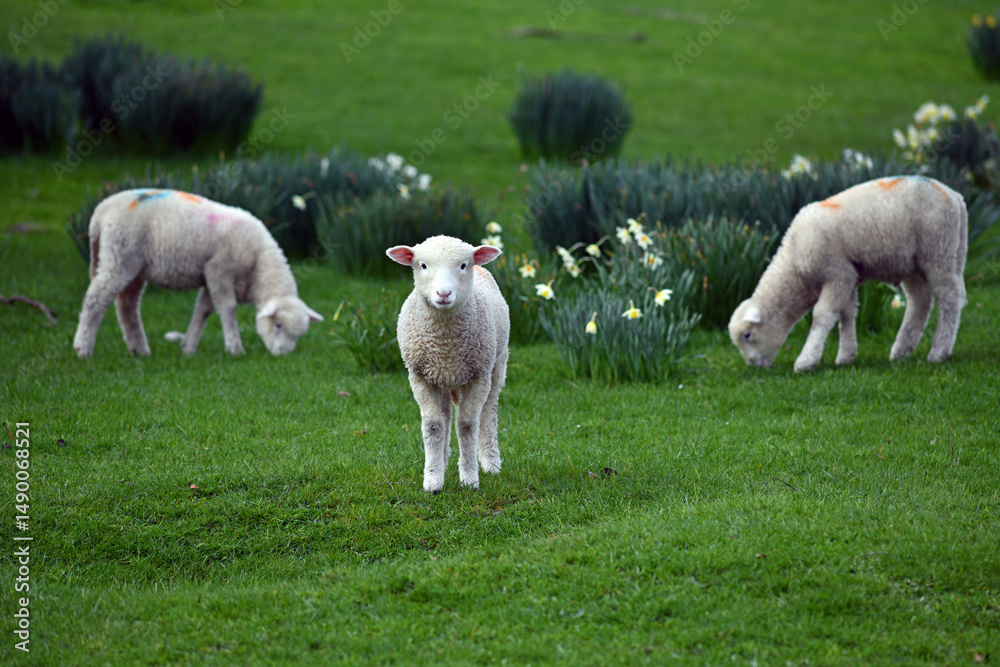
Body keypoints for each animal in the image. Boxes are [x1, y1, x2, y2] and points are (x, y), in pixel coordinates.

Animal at [73, 189, 323, 358]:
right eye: (278, 325)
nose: (283, 354)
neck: (258, 267)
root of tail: (100, 212)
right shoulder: (219, 269)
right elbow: (227, 308)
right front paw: (235, 348)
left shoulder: (210, 276)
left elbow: (203, 310)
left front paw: (188, 347)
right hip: (119, 257)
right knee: (96, 299)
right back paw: (83, 348)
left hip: (134, 268)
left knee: (127, 305)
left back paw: (139, 349)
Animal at [386, 236, 510, 493]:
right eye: (423, 265)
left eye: (463, 265)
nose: (443, 293)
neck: (445, 344)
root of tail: (482, 268)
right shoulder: (419, 376)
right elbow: (434, 425)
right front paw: (433, 479)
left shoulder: (479, 376)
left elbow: (468, 426)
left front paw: (470, 479)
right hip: (441, 377)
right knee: (445, 416)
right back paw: (442, 461)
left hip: (497, 366)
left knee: (489, 413)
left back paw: (491, 462)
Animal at [729, 175, 967, 372]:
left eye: (748, 335)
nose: (752, 365)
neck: (795, 266)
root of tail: (955, 197)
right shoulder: (849, 276)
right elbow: (847, 314)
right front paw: (846, 356)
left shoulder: (837, 275)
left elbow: (822, 315)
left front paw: (806, 361)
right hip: (920, 262)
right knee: (920, 301)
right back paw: (901, 350)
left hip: (938, 252)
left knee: (949, 299)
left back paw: (938, 352)